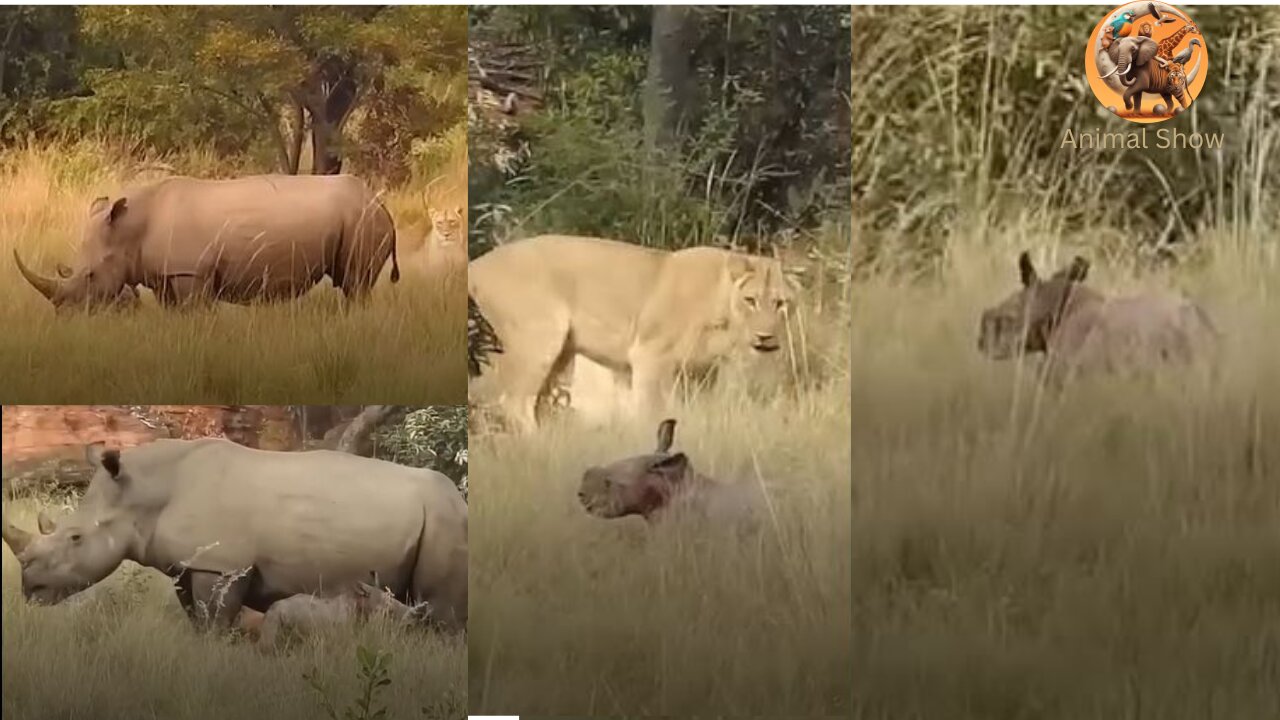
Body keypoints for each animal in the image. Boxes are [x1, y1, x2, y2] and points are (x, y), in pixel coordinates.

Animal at [0, 430, 471, 627]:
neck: (141, 493)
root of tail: (461, 499)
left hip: (445, 518)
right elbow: (196, 617)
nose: (30, 590)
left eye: (75, 538)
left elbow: (215, 620)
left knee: (441, 610)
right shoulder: (190, 563)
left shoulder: (222, 563)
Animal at [12, 174, 396, 311]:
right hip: (360, 217)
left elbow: (196, 313)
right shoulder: (166, 275)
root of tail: (382, 205)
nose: (66, 315)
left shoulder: (190, 273)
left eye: (90, 276)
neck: (131, 229)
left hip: (362, 220)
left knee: (355, 284)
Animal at [465, 234, 793, 430]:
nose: (765, 337)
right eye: (751, 300)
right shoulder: (649, 354)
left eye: (780, 304)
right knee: (515, 403)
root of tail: (476, 265)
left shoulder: (704, 371)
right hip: (539, 338)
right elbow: (651, 410)